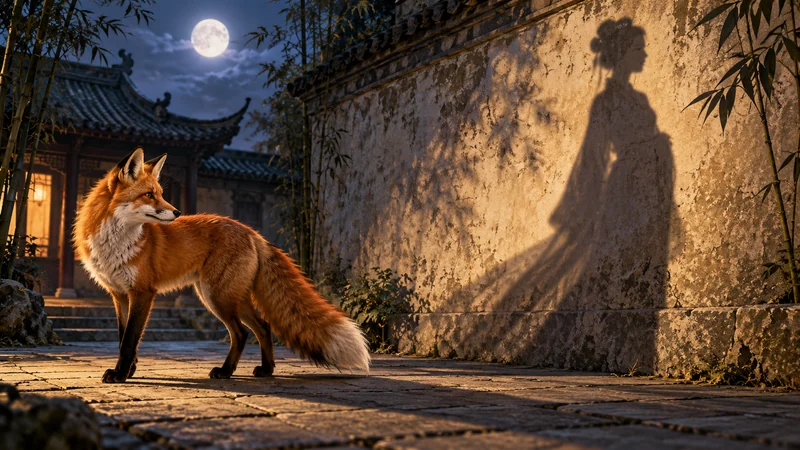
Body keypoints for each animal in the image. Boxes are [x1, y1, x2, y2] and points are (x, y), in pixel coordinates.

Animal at [74, 147, 370, 383]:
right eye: (149, 195)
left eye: (159, 194)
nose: (177, 212)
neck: (117, 242)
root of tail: (251, 231)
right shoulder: (119, 294)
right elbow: (123, 337)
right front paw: (130, 370)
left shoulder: (143, 292)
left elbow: (129, 341)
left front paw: (120, 374)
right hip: (230, 297)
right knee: (263, 327)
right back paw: (266, 370)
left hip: (216, 297)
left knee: (241, 333)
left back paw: (226, 371)